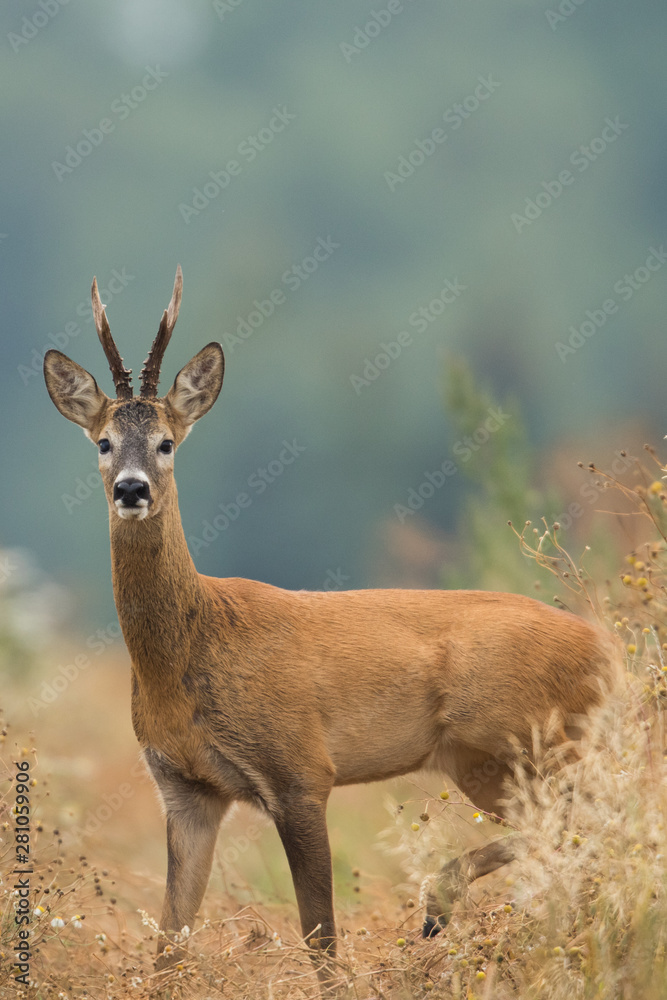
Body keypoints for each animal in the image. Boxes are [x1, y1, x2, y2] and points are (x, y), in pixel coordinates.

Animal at [43, 267, 622, 990]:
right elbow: (169, 945)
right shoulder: (185, 789)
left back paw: (439, 903)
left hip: (517, 745)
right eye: (102, 441)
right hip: (505, 758)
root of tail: (604, 649)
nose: (130, 489)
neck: (193, 648)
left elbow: (320, 937)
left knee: (597, 819)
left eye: (166, 442)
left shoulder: (299, 769)